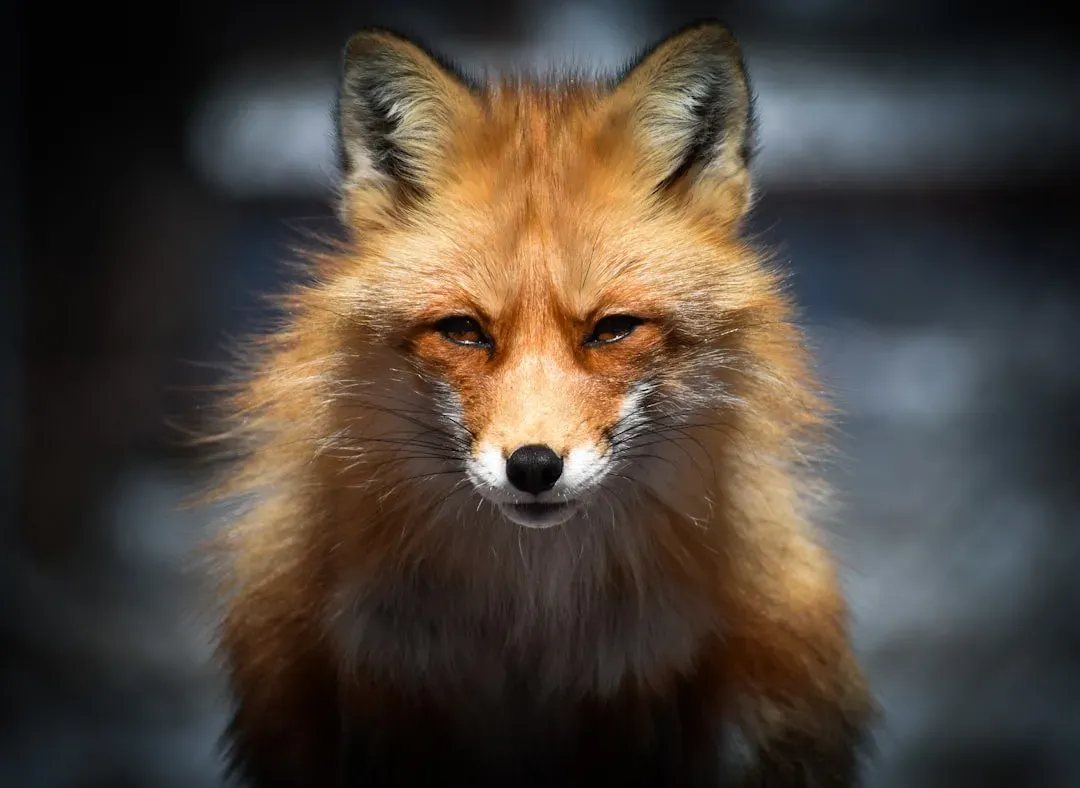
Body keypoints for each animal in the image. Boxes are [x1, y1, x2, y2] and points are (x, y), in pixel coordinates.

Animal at [205, 19, 875, 788]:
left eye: (612, 329)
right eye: (464, 331)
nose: (532, 467)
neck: (530, 625)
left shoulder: (638, 684)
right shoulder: (391, 678)